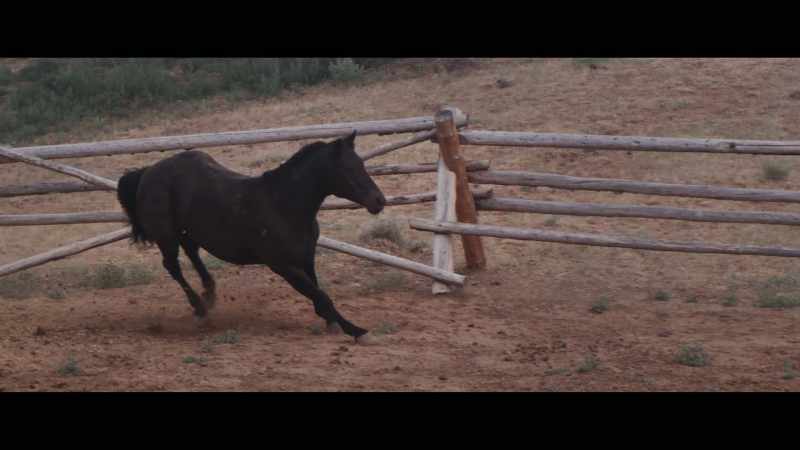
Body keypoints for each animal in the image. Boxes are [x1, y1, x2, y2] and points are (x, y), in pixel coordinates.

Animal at [116, 131, 387, 344]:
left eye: (361, 164)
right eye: (348, 168)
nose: (379, 201)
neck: (282, 204)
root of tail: (148, 172)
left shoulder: (306, 258)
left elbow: (319, 292)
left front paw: (333, 323)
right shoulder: (282, 265)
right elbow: (321, 295)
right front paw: (357, 330)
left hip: (187, 231)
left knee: (192, 254)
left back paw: (209, 294)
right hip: (166, 235)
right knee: (172, 266)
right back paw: (200, 307)